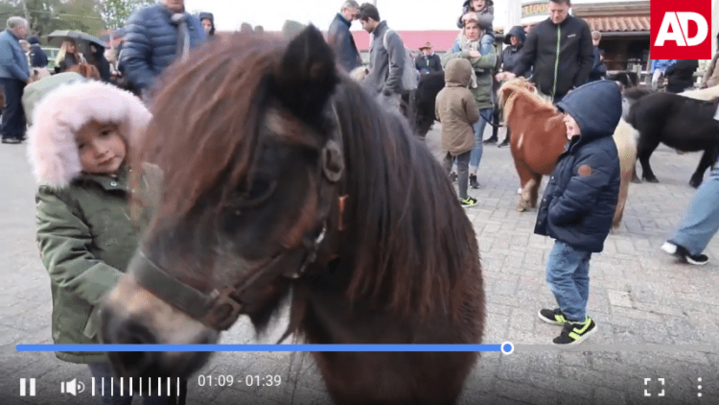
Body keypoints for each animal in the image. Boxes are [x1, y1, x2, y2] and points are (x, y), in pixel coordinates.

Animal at [496, 77, 636, 226]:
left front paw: (522, 205)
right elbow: (535, 185)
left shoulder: (521, 163)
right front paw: (532, 204)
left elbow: (527, 183)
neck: (526, 117)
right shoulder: (535, 166)